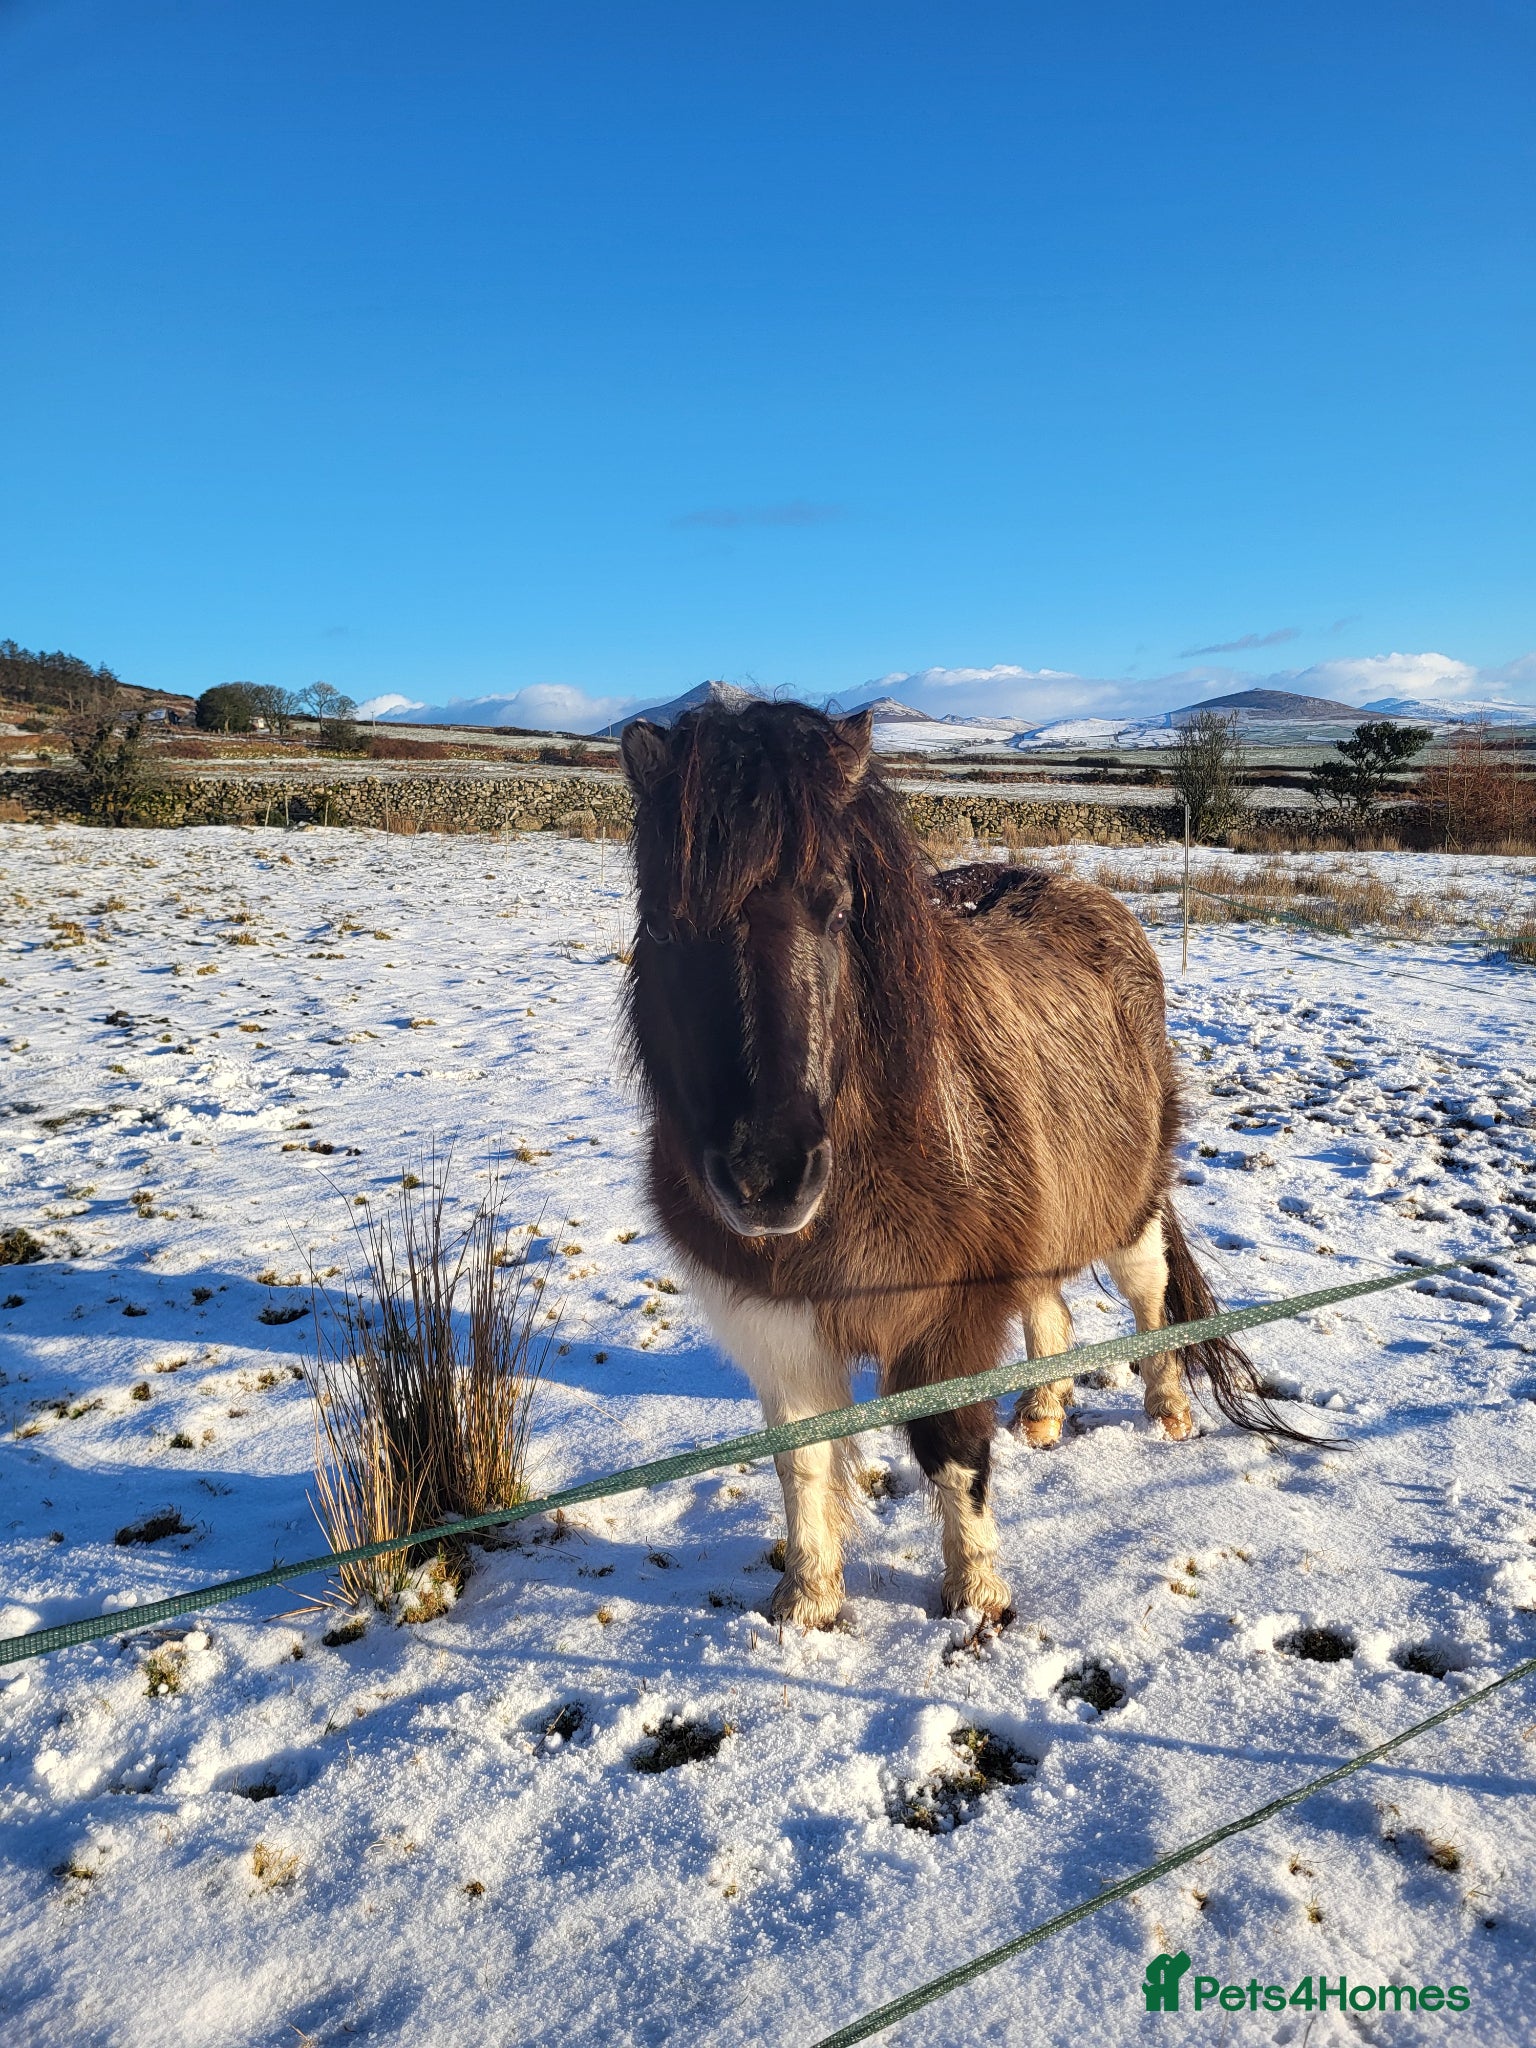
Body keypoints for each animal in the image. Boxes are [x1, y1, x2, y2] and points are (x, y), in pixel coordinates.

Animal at [620, 698, 1295, 1630]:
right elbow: (801, 1460)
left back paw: (1168, 1413)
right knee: (1051, 1307)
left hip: (1128, 1206)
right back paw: (1043, 1413)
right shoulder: (779, 1321)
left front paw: (975, 1595)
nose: (767, 1177)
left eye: (837, 911)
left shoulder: (948, 1318)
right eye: (658, 925)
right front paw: (807, 1603)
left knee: (1150, 1297)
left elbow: (951, 1450)